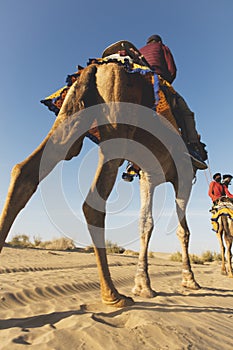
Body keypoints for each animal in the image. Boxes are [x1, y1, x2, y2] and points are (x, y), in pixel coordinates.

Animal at [0, 54, 200, 306]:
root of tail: (96, 67)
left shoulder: (149, 173)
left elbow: (146, 223)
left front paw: (142, 285)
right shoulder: (181, 175)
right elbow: (182, 231)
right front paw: (189, 280)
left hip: (70, 114)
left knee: (25, 171)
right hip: (115, 129)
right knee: (92, 204)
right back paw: (112, 294)